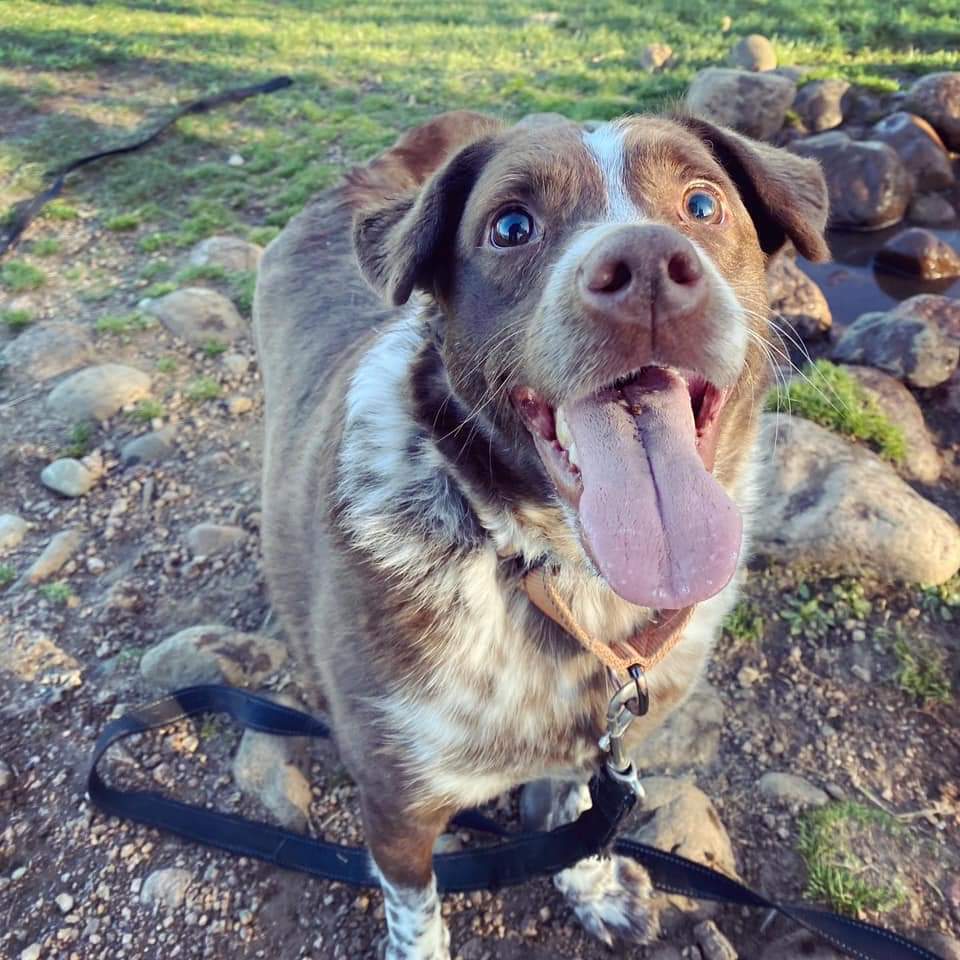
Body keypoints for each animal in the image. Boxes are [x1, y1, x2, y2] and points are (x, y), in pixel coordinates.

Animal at [251, 109, 828, 956]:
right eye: (511, 226)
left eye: (702, 204)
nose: (646, 265)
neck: (547, 572)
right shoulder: (397, 802)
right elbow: (415, 908)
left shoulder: (602, 751)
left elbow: (574, 823)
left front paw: (594, 891)